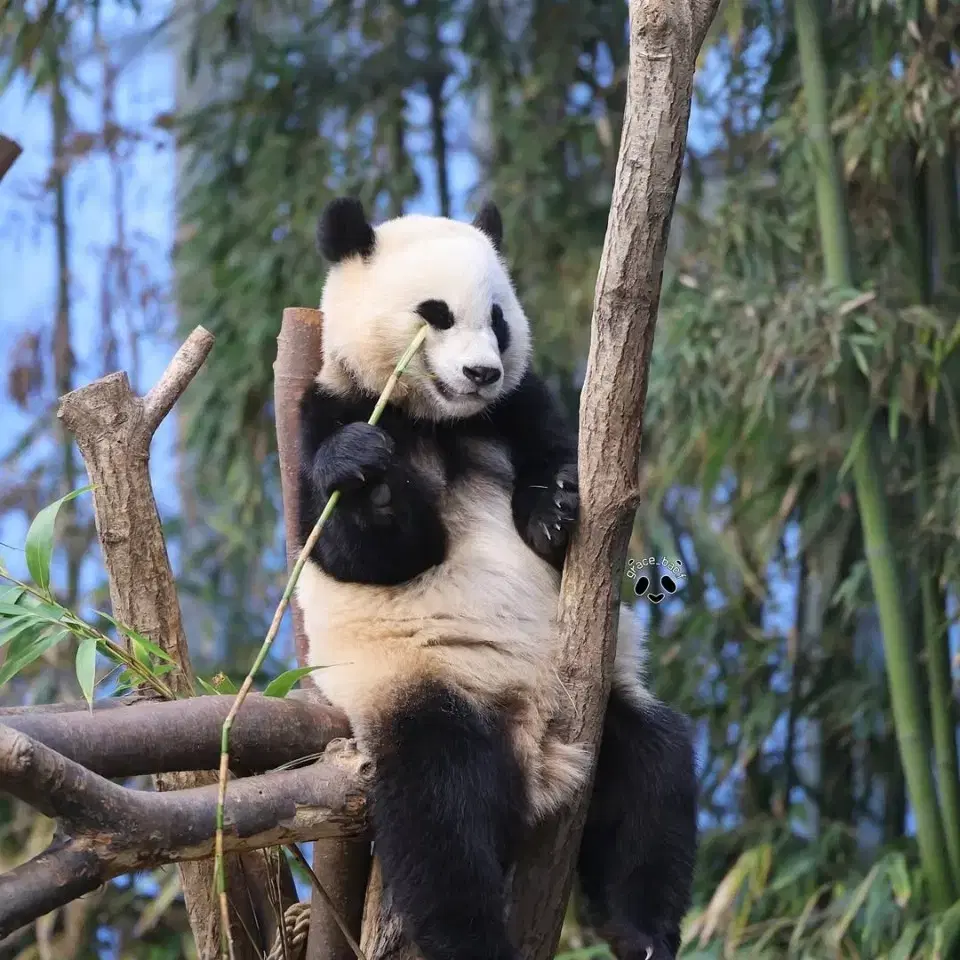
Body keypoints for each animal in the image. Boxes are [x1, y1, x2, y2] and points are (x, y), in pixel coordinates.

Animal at [298, 195, 696, 960]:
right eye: (435, 313)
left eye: (499, 318)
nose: (481, 372)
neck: (441, 421)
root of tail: (534, 751)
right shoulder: (327, 407)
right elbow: (352, 551)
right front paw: (372, 481)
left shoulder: (520, 406)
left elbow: (559, 463)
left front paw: (556, 509)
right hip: (425, 689)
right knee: (440, 817)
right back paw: (472, 935)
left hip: (605, 711)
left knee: (654, 779)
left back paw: (641, 930)